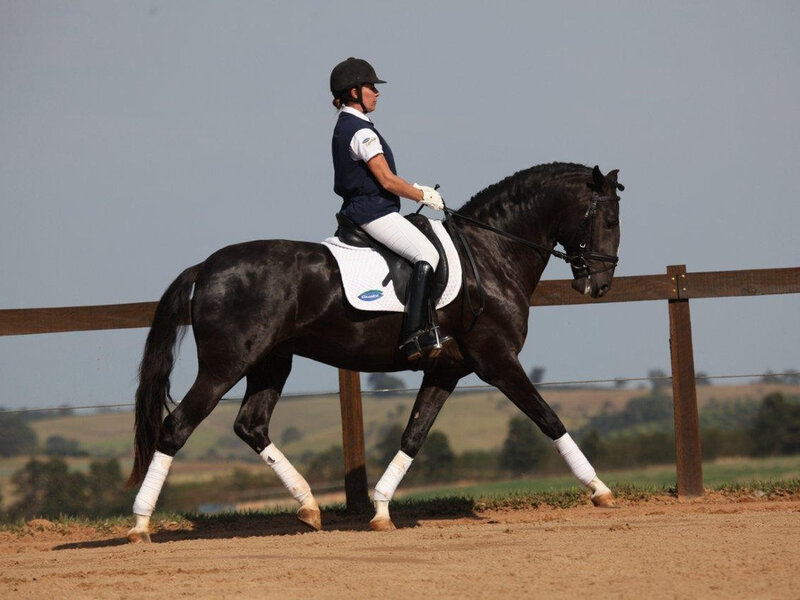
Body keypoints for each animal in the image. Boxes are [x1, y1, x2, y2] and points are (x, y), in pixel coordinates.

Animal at [125, 162, 623, 542]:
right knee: (176, 427)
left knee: (251, 425)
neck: (490, 254)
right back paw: (140, 525)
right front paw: (599, 488)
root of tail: (207, 267)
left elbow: (413, 435)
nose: (599, 285)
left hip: (270, 363)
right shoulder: (497, 361)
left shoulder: (445, 371)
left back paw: (309, 506)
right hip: (224, 366)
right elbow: (549, 418)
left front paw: (381, 511)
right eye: (610, 221)